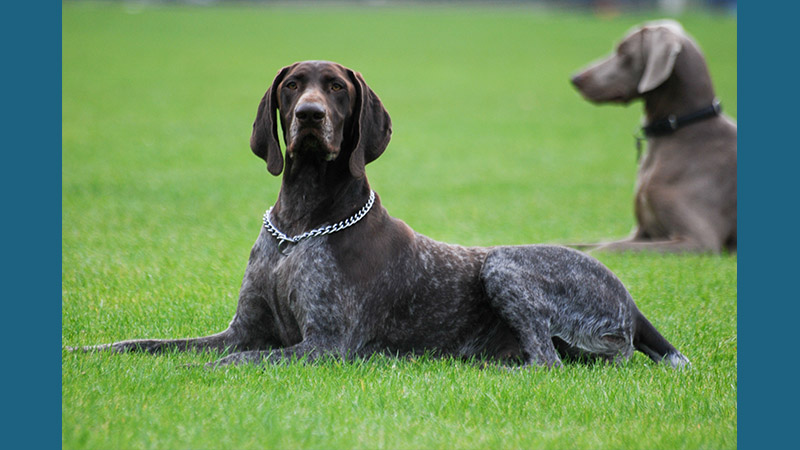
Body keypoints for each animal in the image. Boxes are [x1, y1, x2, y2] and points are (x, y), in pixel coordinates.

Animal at [72, 60, 692, 370]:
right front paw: (87, 354)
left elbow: (234, 363)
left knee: (547, 361)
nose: (310, 115)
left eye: (337, 88)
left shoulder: (324, 347)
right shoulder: (240, 330)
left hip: (505, 266)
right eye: (292, 86)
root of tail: (632, 303)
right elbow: (146, 345)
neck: (301, 226)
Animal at [568, 20, 736, 253]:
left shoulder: (699, 241)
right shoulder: (641, 232)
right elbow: (576, 242)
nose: (575, 78)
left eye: (623, 52)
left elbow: (605, 248)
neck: (678, 129)